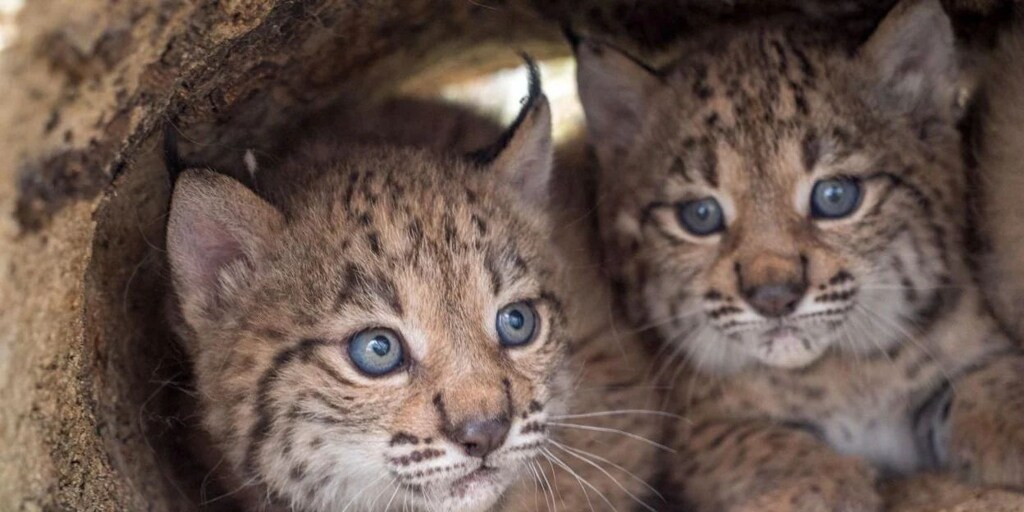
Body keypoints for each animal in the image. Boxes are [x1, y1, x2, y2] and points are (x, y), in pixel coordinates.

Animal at [573, 0, 1024, 507]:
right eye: (701, 215)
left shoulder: (976, 350)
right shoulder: (684, 423)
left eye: (835, 196)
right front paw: (819, 485)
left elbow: (996, 386)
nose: (774, 297)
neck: (839, 372)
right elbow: (745, 438)